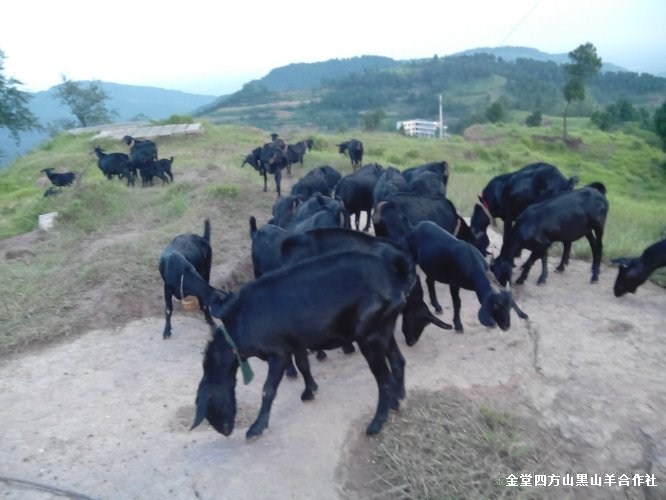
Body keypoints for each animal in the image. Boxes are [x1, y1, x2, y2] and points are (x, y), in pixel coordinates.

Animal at [191, 248, 416, 440]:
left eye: (213, 407)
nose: (226, 431)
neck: (238, 325)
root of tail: (394, 279)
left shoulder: (278, 352)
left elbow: (268, 389)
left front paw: (256, 427)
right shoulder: (296, 342)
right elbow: (303, 365)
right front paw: (310, 391)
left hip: (370, 334)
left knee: (383, 379)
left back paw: (377, 423)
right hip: (383, 328)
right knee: (398, 362)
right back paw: (398, 399)